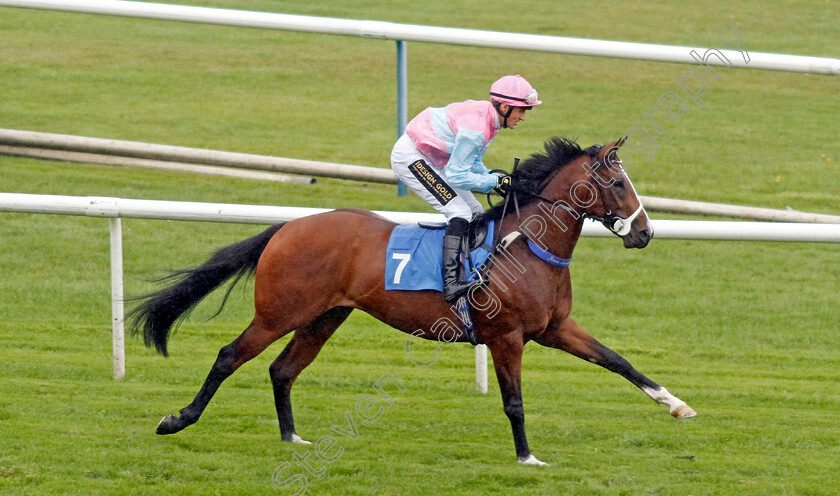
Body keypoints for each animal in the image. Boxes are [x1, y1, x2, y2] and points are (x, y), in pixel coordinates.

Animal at [130, 137, 696, 464]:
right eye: (618, 181)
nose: (644, 233)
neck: (527, 247)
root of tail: (289, 226)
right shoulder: (506, 336)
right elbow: (514, 401)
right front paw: (527, 458)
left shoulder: (555, 328)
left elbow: (619, 362)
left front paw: (677, 404)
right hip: (278, 311)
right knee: (230, 356)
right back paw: (177, 419)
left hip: (325, 316)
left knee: (282, 370)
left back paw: (292, 439)